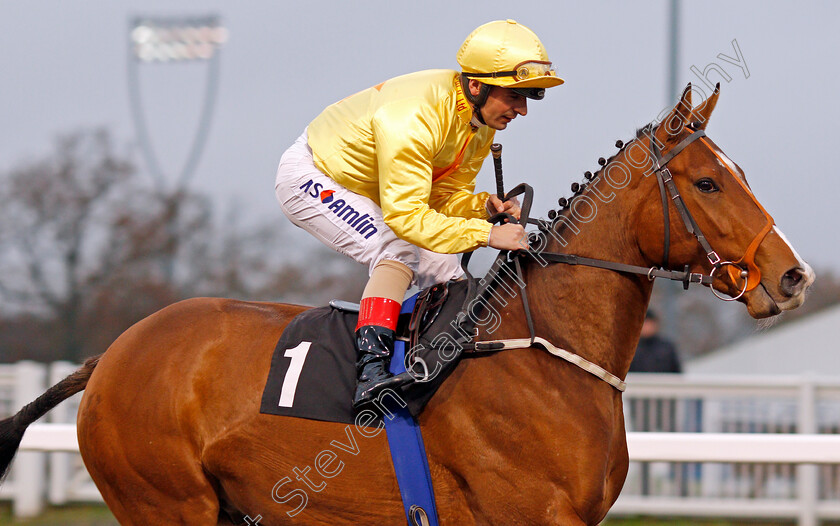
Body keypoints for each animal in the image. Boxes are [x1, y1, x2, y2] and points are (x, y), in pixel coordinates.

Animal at [0, 84, 812, 524]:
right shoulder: (527, 513)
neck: (538, 352)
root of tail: (112, 353)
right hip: (166, 505)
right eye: (707, 182)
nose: (792, 276)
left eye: (738, 172)